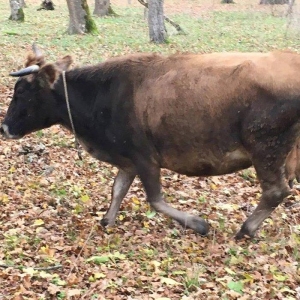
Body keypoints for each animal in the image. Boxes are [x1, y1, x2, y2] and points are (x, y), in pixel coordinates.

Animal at [1, 46, 298, 239]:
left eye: (23, 91)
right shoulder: (127, 160)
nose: (4, 127)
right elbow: (117, 189)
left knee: (275, 191)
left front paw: (198, 224)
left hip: (266, 148)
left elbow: (154, 199)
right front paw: (107, 220)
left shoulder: (145, 157)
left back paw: (246, 230)